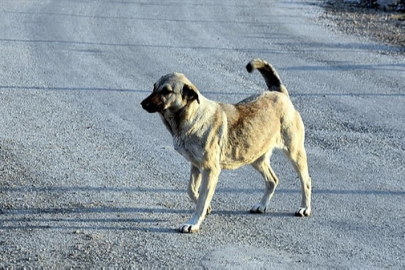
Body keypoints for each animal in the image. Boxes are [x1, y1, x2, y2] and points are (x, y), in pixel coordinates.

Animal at [140, 58, 310, 232]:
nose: (142, 104)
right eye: (154, 87)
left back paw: (305, 208)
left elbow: (201, 201)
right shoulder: (196, 166)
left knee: (306, 181)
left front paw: (193, 223)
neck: (192, 116)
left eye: (166, 91)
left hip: (294, 153)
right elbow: (191, 190)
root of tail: (280, 93)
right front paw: (206, 208)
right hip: (255, 157)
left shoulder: (210, 170)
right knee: (272, 180)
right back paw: (262, 205)